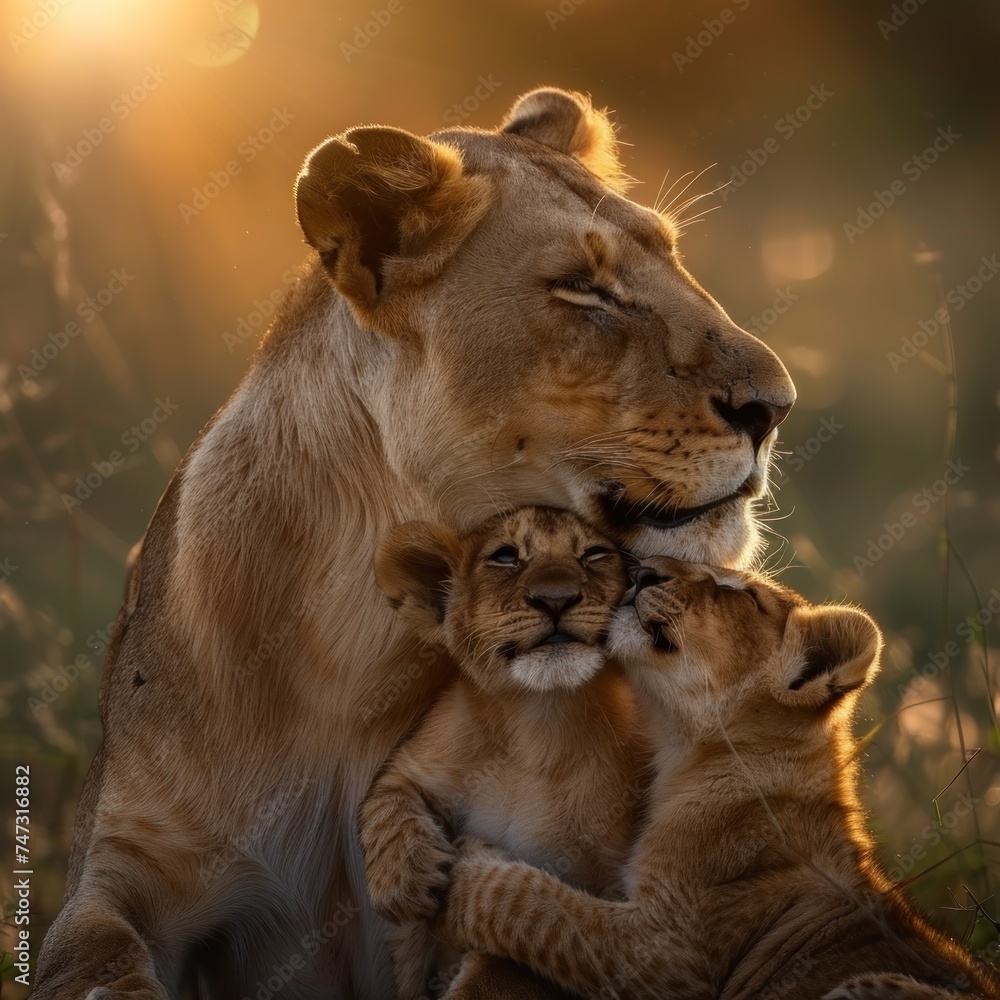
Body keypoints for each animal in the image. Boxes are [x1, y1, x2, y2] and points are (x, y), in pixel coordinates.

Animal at [362, 506, 649, 998]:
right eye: (505, 556)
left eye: (594, 554)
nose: (557, 599)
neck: (538, 722)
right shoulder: (418, 760)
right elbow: (386, 801)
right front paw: (404, 881)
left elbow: (524, 947)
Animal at [432, 558, 1000, 999]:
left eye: (740, 594)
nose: (642, 569)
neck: (687, 752)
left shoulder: (671, 953)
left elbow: (534, 905)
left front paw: (459, 868)